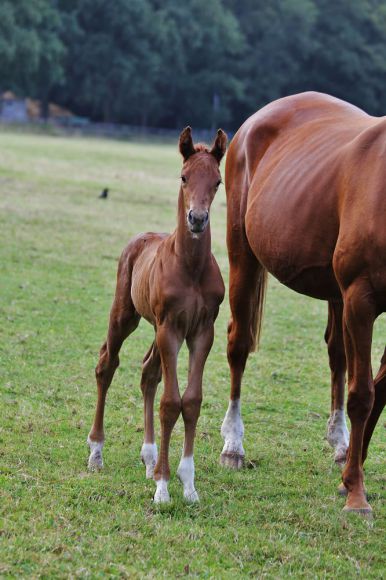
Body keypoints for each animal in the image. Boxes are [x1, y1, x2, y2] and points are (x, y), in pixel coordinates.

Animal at [87, 127, 226, 502]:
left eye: (218, 181)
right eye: (184, 176)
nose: (197, 219)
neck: (190, 267)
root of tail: (140, 238)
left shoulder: (201, 332)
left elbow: (191, 401)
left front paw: (188, 483)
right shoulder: (170, 329)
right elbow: (170, 403)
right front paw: (163, 487)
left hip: (156, 329)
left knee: (149, 372)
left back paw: (149, 459)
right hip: (127, 314)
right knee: (107, 364)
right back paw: (96, 451)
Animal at [220, 90, 386, 512]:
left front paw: (351, 471)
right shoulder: (361, 297)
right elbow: (364, 393)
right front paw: (355, 493)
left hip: (335, 292)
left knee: (337, 354)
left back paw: (341, 443)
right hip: (242, 254)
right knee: (238, 344)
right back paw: (234, 445)